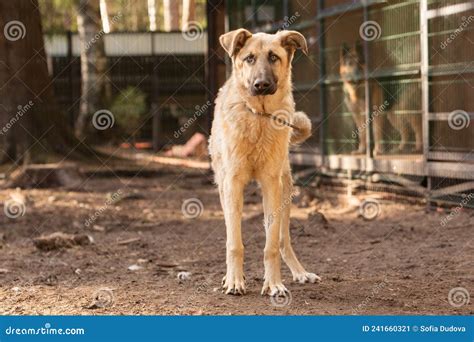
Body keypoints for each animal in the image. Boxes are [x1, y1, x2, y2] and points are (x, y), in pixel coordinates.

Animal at [209, 29, 320, 296]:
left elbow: (271, 245)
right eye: (249, 58)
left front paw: (274, 284)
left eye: (273, 57)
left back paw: (299, 272)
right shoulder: (233, 185)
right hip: (225, 190)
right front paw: (234, 280)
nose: (261, 85)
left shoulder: (271, 185)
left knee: (282, 240)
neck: (258, 116)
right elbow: (234, 242)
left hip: (284, 193)